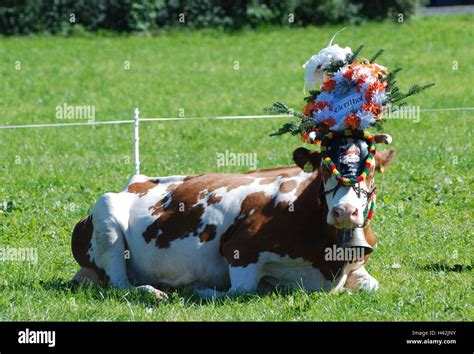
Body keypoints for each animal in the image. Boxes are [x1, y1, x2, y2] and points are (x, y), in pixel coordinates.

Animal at [71, 133, 396, 298]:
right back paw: (153, 291)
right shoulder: (240, 251)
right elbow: (240, 291)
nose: (345, 211)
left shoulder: (357, 266)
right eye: (326, 167)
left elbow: (372, 286)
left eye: (370, 170)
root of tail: (137, 181)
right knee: (120, 284)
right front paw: (200, 289)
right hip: (106, 218)